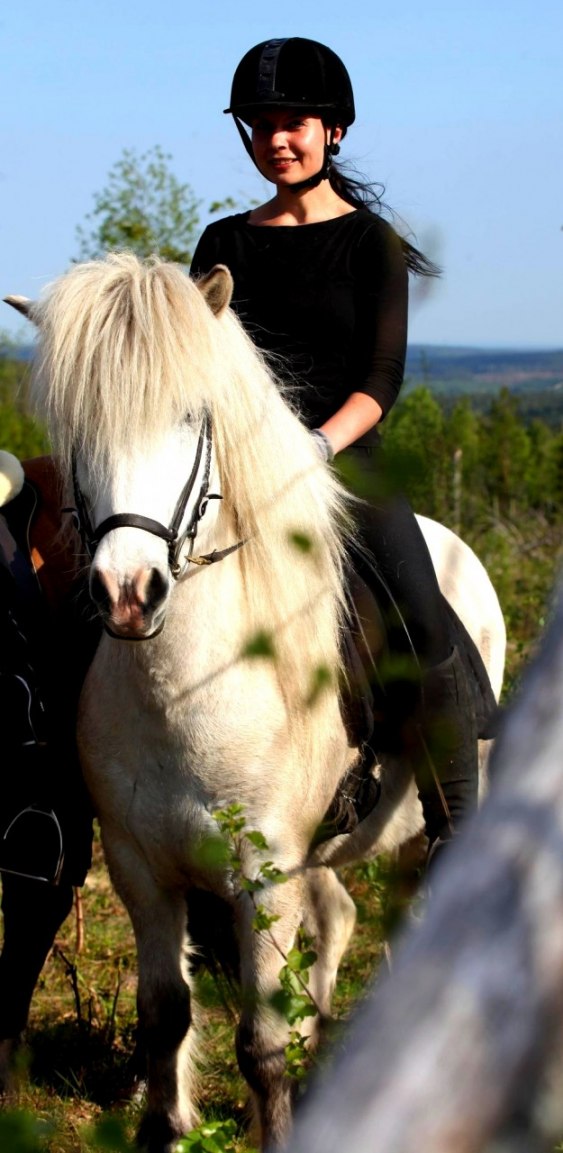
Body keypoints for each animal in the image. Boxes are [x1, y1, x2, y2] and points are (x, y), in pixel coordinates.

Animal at [5, 253, 505, 1152]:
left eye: (191, 415)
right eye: (77, 427)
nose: (128, 593)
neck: (191, 689)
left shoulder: (261, 875)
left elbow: (259, 1041)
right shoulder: (142, 871)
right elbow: (164, 1015)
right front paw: (164, 1127)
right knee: (337, 916)